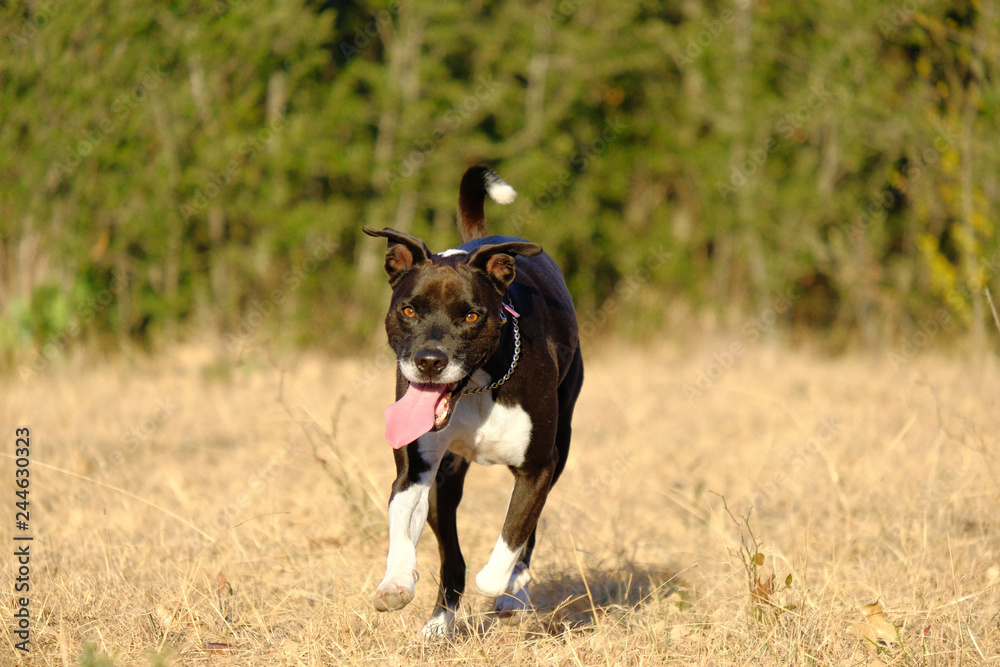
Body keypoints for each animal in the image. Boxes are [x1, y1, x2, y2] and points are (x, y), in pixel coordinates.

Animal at [364, 164, 584, 640]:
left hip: (562, 446)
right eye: (408, 310)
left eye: (470, 315)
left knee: (520, 544)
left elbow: (511, 542)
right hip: (445, 484)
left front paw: (506, 590)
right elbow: (401, 524)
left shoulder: (538, 469)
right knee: (450, 553)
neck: (478, 389)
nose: (429, 361)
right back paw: (439, 622)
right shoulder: (416, 469)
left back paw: (512, 596)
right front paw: (396, 582)